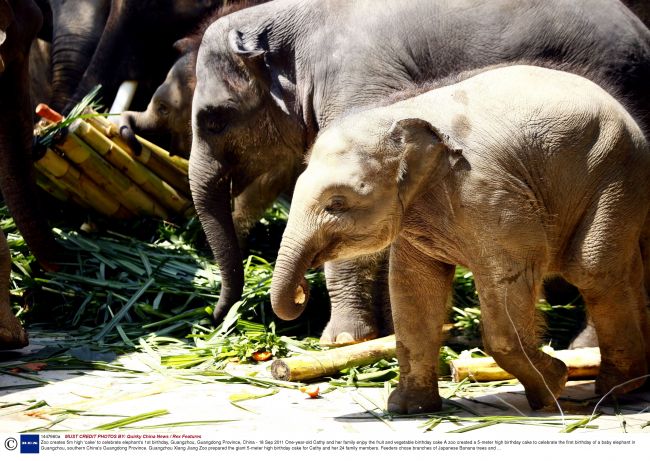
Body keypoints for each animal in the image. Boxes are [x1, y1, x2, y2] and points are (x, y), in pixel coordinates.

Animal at [270, 63, 648, 410]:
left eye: (337, 203)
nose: (302, 293)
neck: (399, 112)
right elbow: (413, 291)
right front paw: (408, 409)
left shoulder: (490, 195)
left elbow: (509, 280)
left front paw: (552, 388)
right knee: (627, 269)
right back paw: (633, 384)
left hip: (613, 173)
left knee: (592, 271)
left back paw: (616, 390)